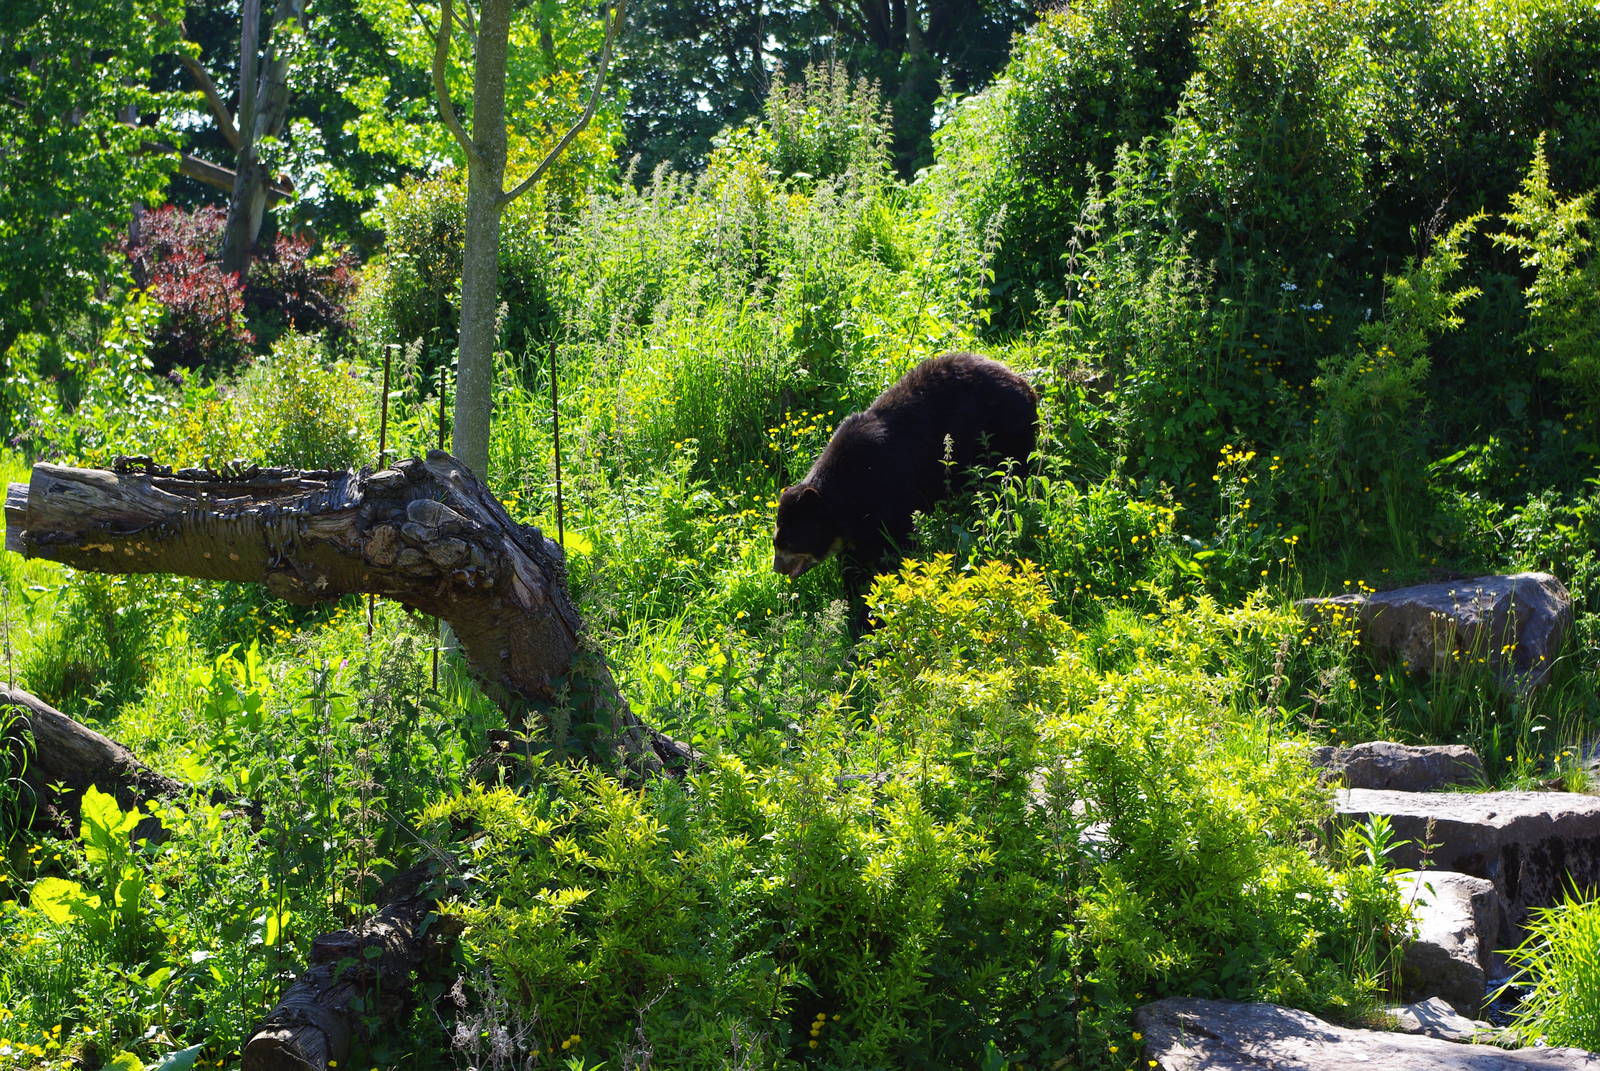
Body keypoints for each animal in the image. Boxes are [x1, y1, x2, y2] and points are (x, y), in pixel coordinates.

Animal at [772, 351, 1037, 586]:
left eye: (787, 542)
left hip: (1002, 436)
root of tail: (1025, 385)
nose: (777, 568)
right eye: (777, 540)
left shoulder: (891, 490)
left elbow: (896, 539)